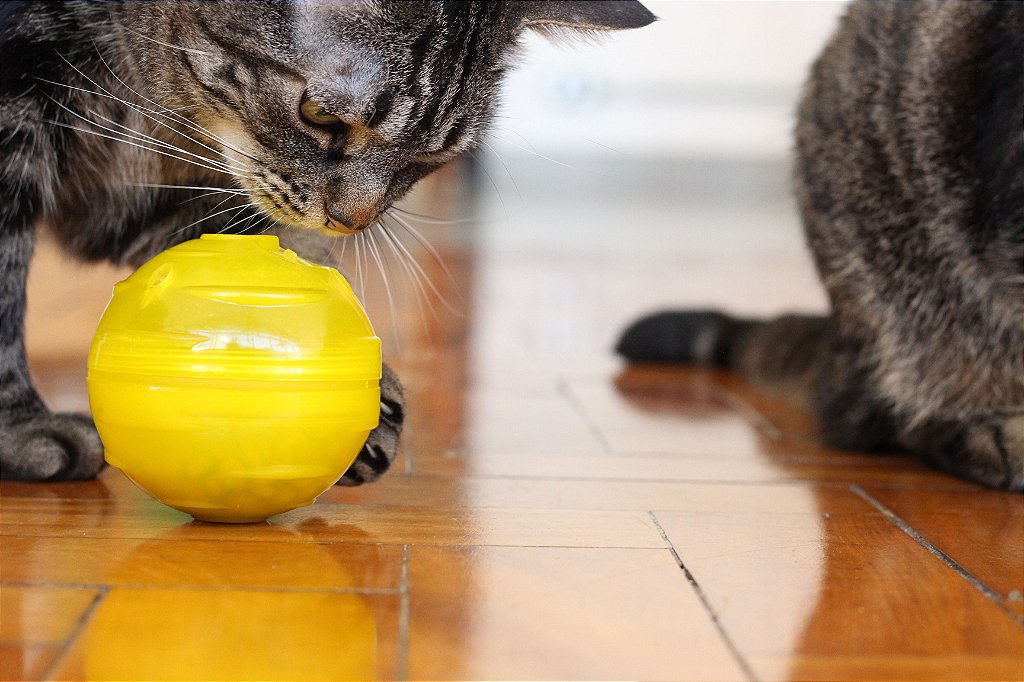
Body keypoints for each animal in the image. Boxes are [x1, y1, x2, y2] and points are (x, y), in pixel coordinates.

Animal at [0, 0, 655, 481]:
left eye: (430, 157)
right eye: (321, 116)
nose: (352, 221)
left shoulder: (147, 198)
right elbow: (6, 286)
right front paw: (20, 431)